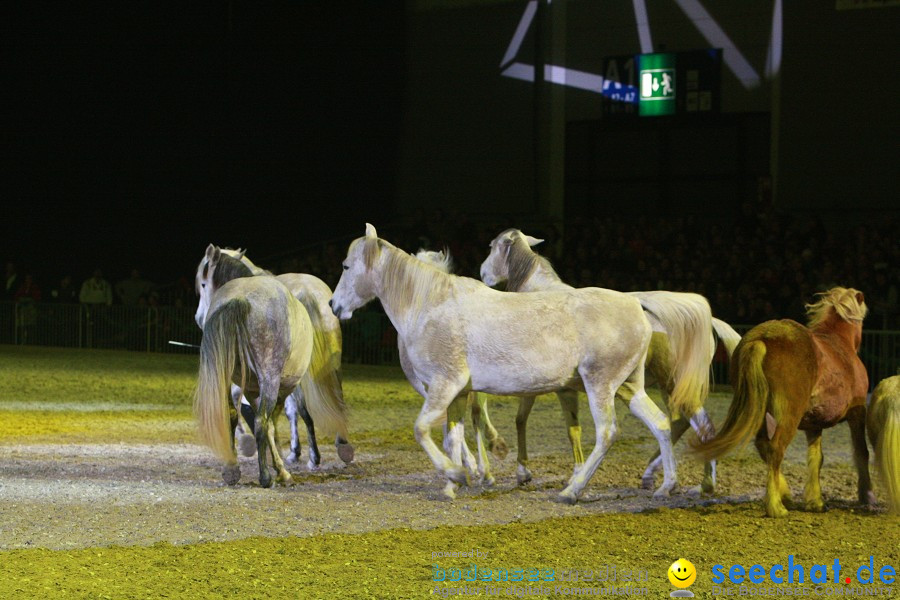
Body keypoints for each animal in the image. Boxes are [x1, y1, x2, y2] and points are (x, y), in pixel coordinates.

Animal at [195, 245, 350, 488]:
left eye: (203, 284)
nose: (198, 318)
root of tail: (241, 298)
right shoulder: (277, 386)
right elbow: (274, 421)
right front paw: (281, 467)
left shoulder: (253, 387)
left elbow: (267, 421)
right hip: (276, 378)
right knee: (269, 418)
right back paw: (272, 473)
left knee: (236, 414)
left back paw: (233, 469)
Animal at [330, 225, 676, 502]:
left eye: (346, 266)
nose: (334, 305)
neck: (430, 304)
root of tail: (634, 303)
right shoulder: (457, 392)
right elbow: (452, 436)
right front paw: (454, 485)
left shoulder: (444, 384)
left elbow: (421, 430)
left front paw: (456, 475)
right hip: (629, 387)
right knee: (660, 423)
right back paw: (665, 486)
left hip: (599, 384)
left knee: (607, 433)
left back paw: (572, 490)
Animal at [478, 230, 740, 492]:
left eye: (492, 246)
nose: (482, 274)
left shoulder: (555, 388)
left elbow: (540, 423)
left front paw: (533, 472)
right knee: (688, 424)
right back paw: (696, 482)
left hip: (670, 382)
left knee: (689, 423)